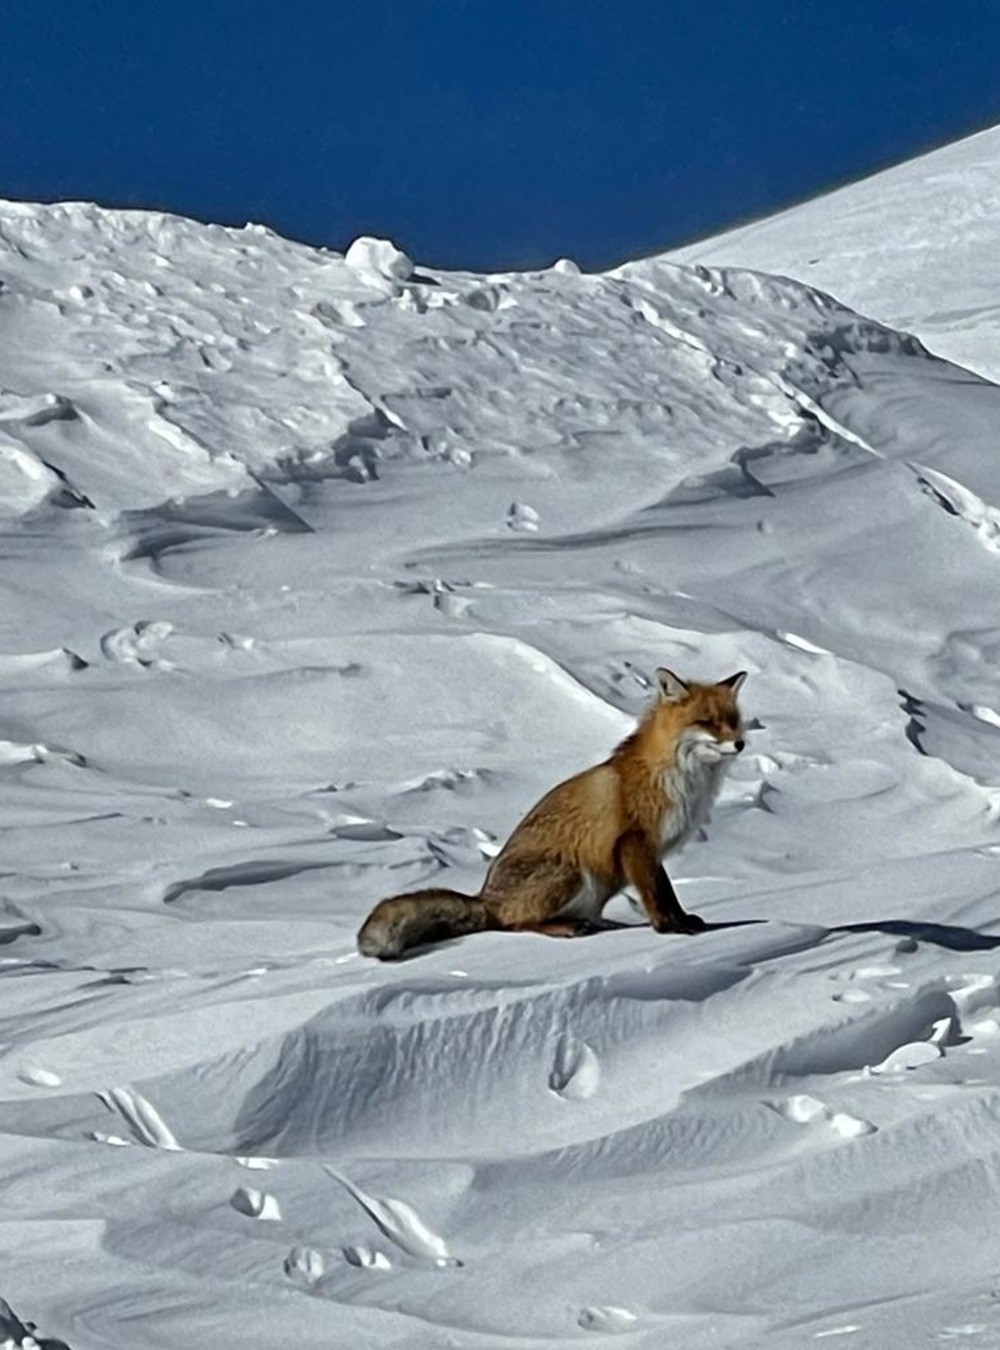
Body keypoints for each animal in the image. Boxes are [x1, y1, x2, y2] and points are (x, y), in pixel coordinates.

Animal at [356, 666, 744, 961]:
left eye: (734, 721)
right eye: (708, 722)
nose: (740, 744)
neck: (680, 777)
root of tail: (484, 899)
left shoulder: (650, 851)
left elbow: (668, 893)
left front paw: (685, 921)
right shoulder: (636, 841)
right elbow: (657, 894)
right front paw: (670, 928)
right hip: (571, 874)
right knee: (513, 924)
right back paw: (566, 927)